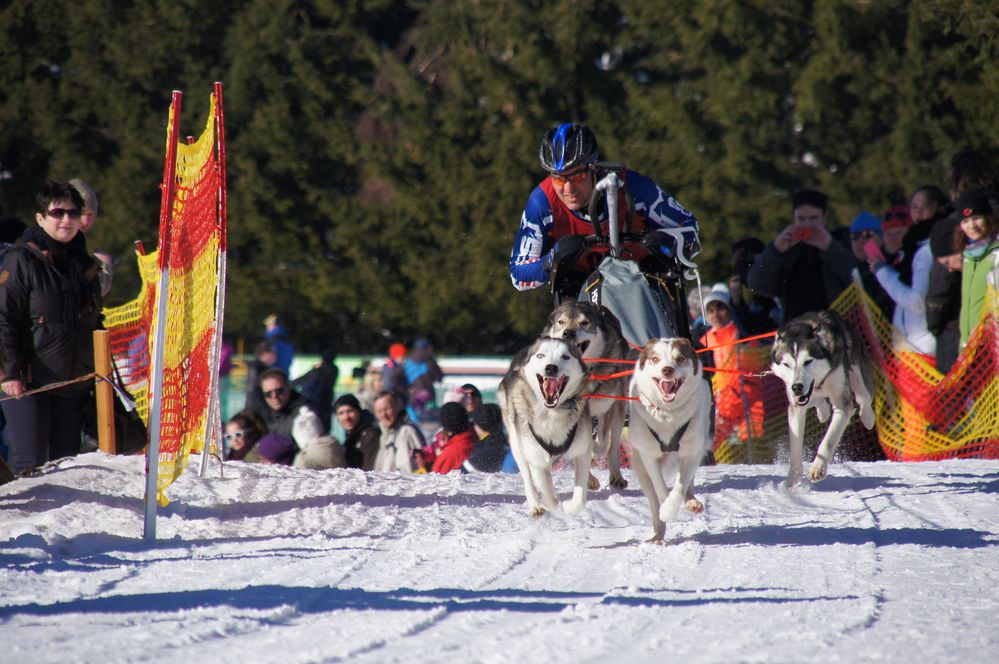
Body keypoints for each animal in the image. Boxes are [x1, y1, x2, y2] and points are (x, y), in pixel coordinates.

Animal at [498, 338, 592, 520]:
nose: (551, 368)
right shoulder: (536, 457)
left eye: (565, 356)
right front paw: (552, 501)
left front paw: (570, 507)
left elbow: (579, 500)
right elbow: (547, 493)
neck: (552, 412)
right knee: (529, 479)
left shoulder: (582, 451)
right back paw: (536, 505)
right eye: (540, 355)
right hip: (518, 447)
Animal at [544, 300, 636, 488]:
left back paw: (616, 476)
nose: (568, 332)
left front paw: (593, 450)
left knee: (612, 447)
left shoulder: (606, 408)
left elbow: (601, 444)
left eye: (584, 323)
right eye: (561, 322)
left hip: (617, 413)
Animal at [628, 338, 716, 540]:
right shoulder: (649, 455)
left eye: (680, 358)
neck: (667, 415)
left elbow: (679, 487)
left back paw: (691, 501)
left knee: (687, 482)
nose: (667, 369)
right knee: (653, 500)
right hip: (640, 468)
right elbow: (660, 488)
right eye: (655, 359)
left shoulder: (691, 451)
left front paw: (670, 508)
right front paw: (665, 507)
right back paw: (658, 535)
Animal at [772, 308, 876, 486]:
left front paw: (817, 469)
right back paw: (823, 411)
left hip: (858, 375)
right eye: (786, 364)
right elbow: (795, 450)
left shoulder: (843, 405)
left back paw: (868, 418)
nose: (797, 387)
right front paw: (792, 481)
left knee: (864, 399)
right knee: (818, 400)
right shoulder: (796, 407)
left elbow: (828, 441)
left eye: (808, 361)